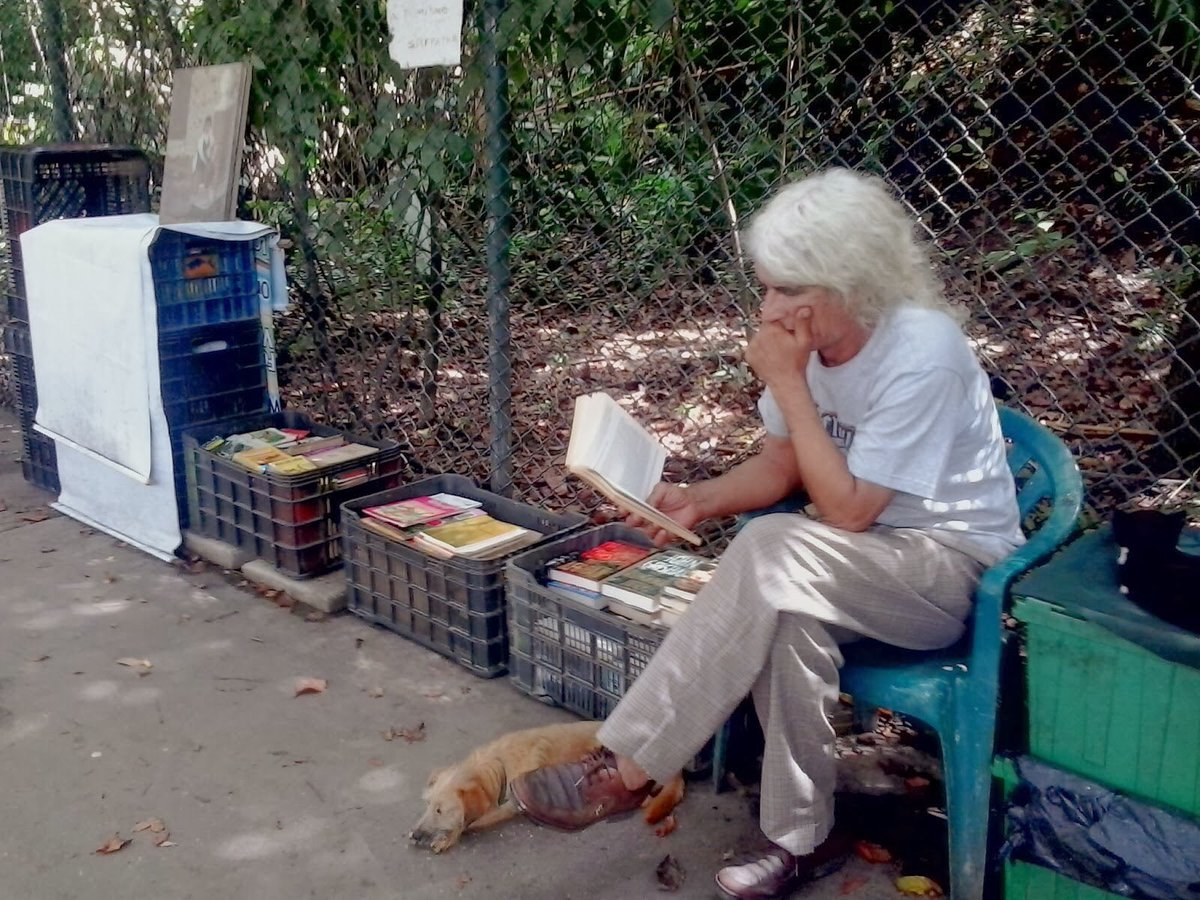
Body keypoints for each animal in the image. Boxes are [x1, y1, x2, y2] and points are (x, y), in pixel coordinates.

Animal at [410, 720, 686, 854]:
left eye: (440, 810)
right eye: (427, 805)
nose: (414, 835)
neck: (499, 764)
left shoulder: (512, 803)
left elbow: (474, 820)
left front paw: (449, 836)